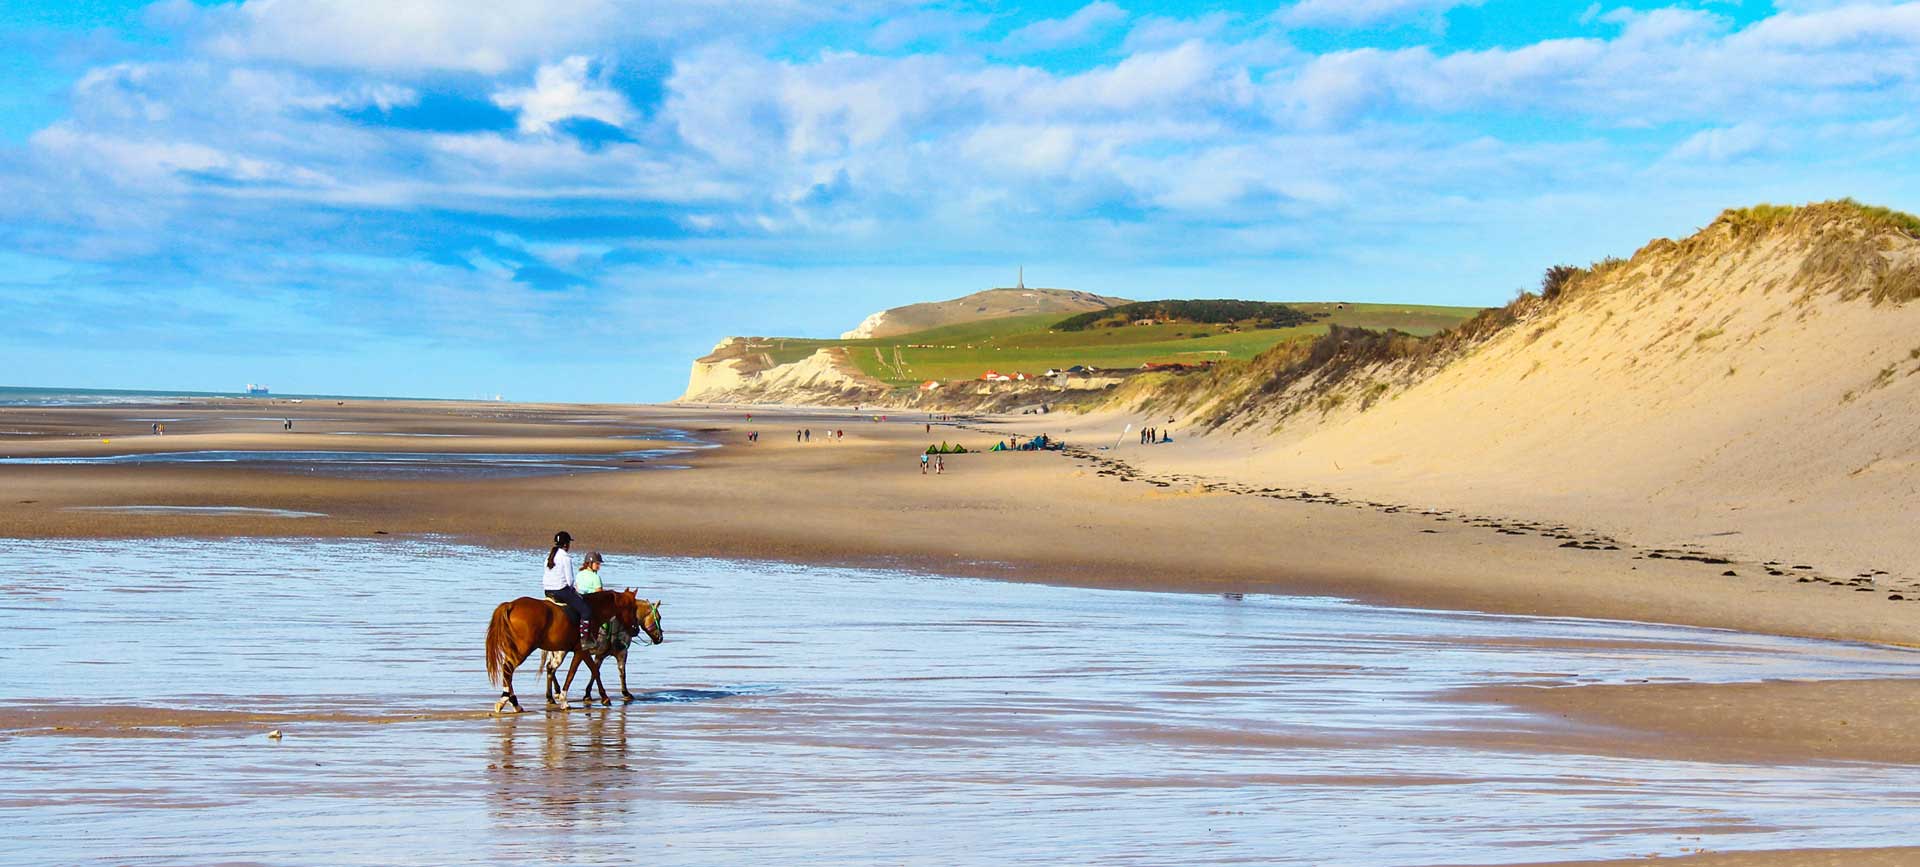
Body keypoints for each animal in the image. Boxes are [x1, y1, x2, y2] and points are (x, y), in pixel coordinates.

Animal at [483, 590, 664, 713]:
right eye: (659, 617)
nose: (660, 638)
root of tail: (511, 605)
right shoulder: (599, 652)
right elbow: (605, 672)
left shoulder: (589, 653)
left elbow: (593, 671)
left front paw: (596, 695)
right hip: (525, 649)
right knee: (510, 669)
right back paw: (513, 701)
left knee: (542, 669)